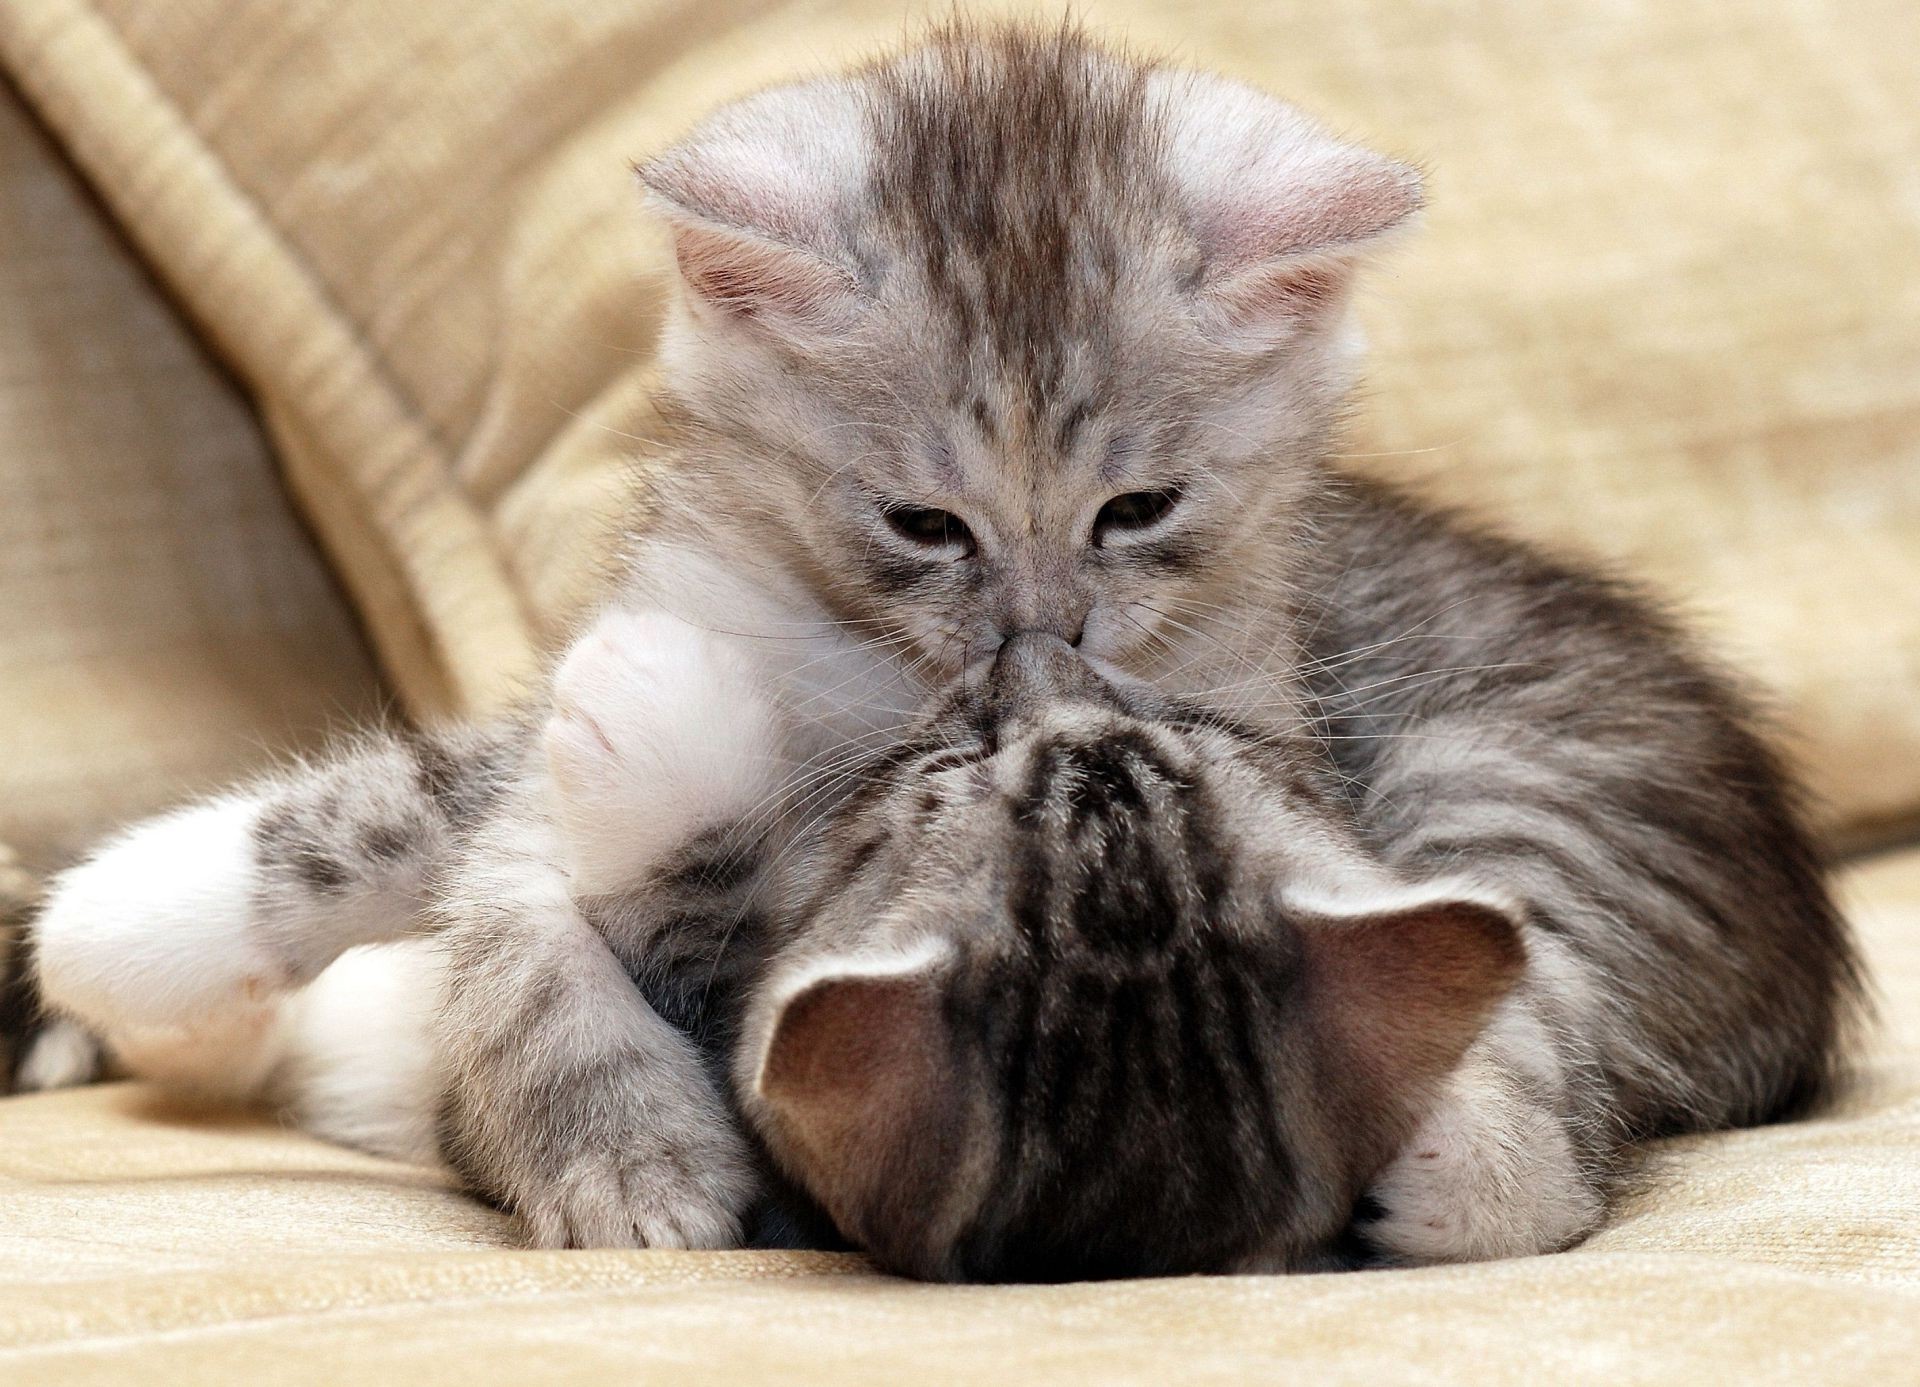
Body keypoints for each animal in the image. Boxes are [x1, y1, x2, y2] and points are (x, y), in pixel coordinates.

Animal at [26, 21, 1858, 1267]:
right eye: (925, 524)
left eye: (1137, 509)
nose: (1040, 653)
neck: (867, 674)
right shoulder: (613, 668)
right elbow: (450, 857)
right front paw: (140, 929)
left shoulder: (1251, 725)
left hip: (1523, 780)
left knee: (1543, 1026)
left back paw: (1472, 1159)